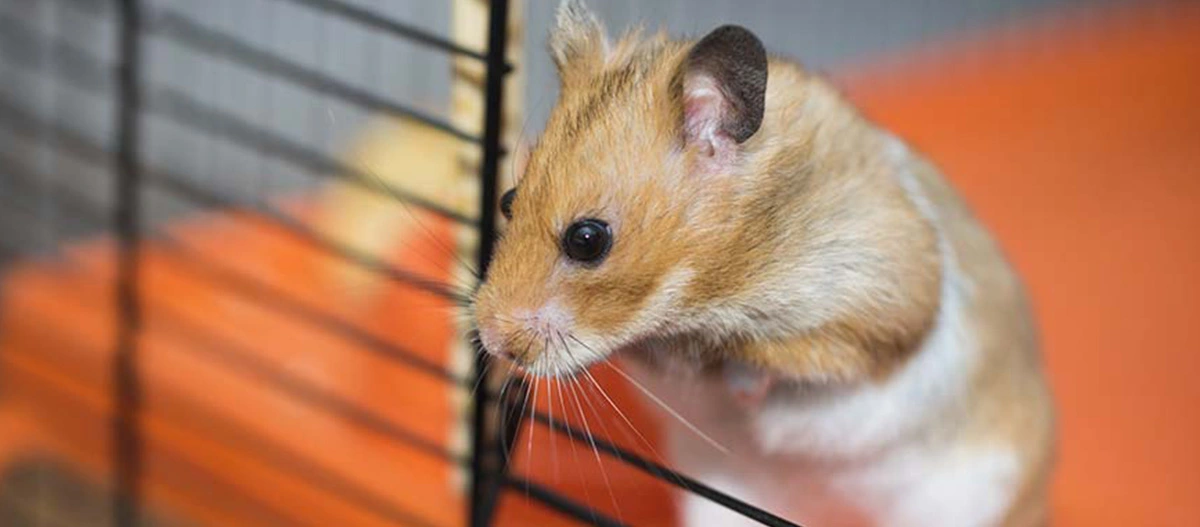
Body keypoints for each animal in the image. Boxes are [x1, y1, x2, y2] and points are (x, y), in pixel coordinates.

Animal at [472, 1, 1055, 526]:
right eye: (508, 199)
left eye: (587, 240)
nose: (491, 340)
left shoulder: (881, 301)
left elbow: (790, 361)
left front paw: (742, 384)